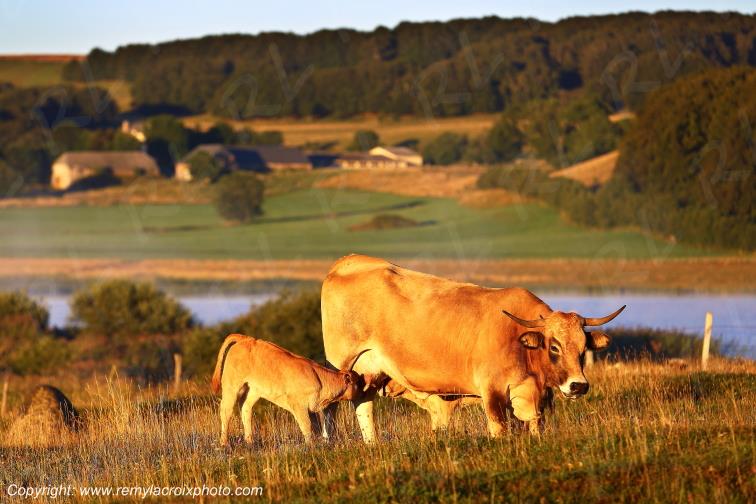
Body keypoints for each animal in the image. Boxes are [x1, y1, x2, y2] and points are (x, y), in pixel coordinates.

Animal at [211, 333, 369, 446]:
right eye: (358, 382)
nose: (365, 392)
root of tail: (246, 339)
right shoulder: (298, 405)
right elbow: (306, 426)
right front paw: (310, 446)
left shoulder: (310, 408)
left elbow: (316, 427)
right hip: (232, 386)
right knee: (226, 411)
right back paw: (224, 443)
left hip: (253, 390)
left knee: (245, 409)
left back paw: (250, 441)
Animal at [321, 254, 624, 442]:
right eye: (554, 347)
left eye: (583, 348)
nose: (578, 385)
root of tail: (348, 262)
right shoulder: (492, 392)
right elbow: (499, 428)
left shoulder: (535, 396)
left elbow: (534, 425)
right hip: (345, 366)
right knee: (333, 406)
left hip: (371, 372)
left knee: (364, 404)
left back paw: (372, 444)